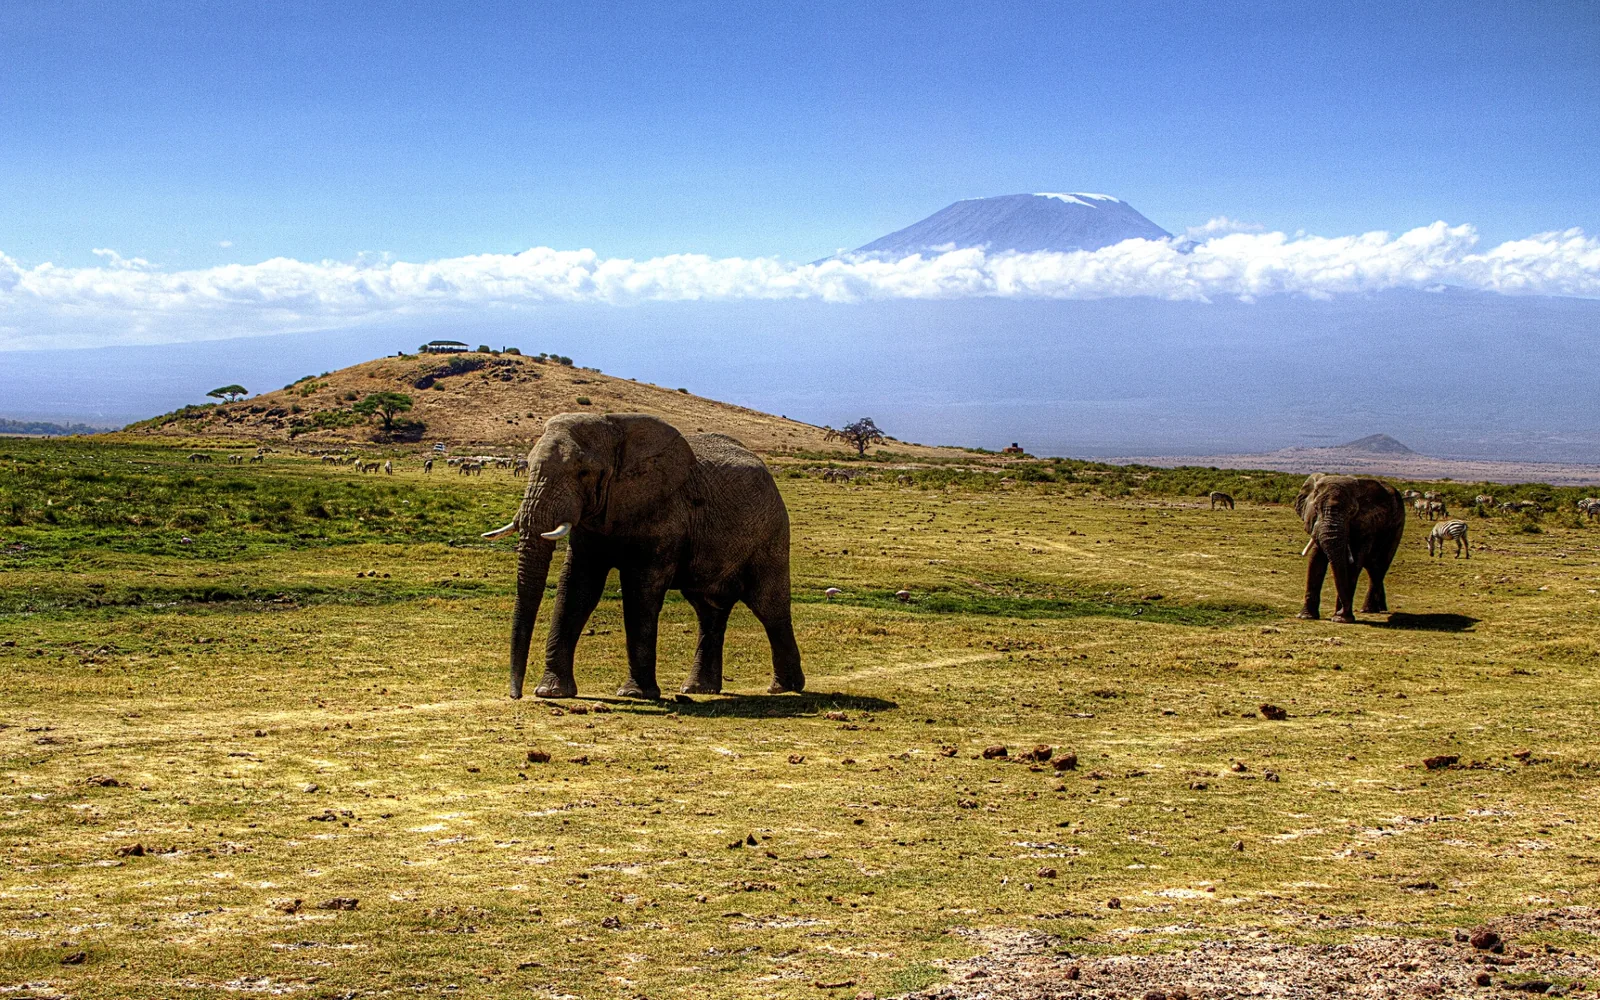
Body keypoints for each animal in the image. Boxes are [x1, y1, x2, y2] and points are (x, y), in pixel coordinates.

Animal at [481, 413, 804, 700]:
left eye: (584, 473)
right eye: (529, 466)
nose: (516, 695)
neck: (615, 430)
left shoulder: (665, 512)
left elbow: (640, 592)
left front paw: (635, 694)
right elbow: (577, 588)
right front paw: (551, 692)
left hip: (771, 533)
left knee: (769, 606)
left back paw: (784, 688)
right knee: (708, 610)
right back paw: (698, 689)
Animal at [1294, 474, 1406, 623]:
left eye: (1352, 512)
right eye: (1316, 508)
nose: (1341, 611)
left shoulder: (1366, 524)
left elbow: (1354, 564)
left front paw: (1341, 619)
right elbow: (1315, 560)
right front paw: (1306, 617)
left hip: (1397, 527)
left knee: (1379, 567)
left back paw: (1369, 609)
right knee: (1373, 568)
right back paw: (1376, 609)